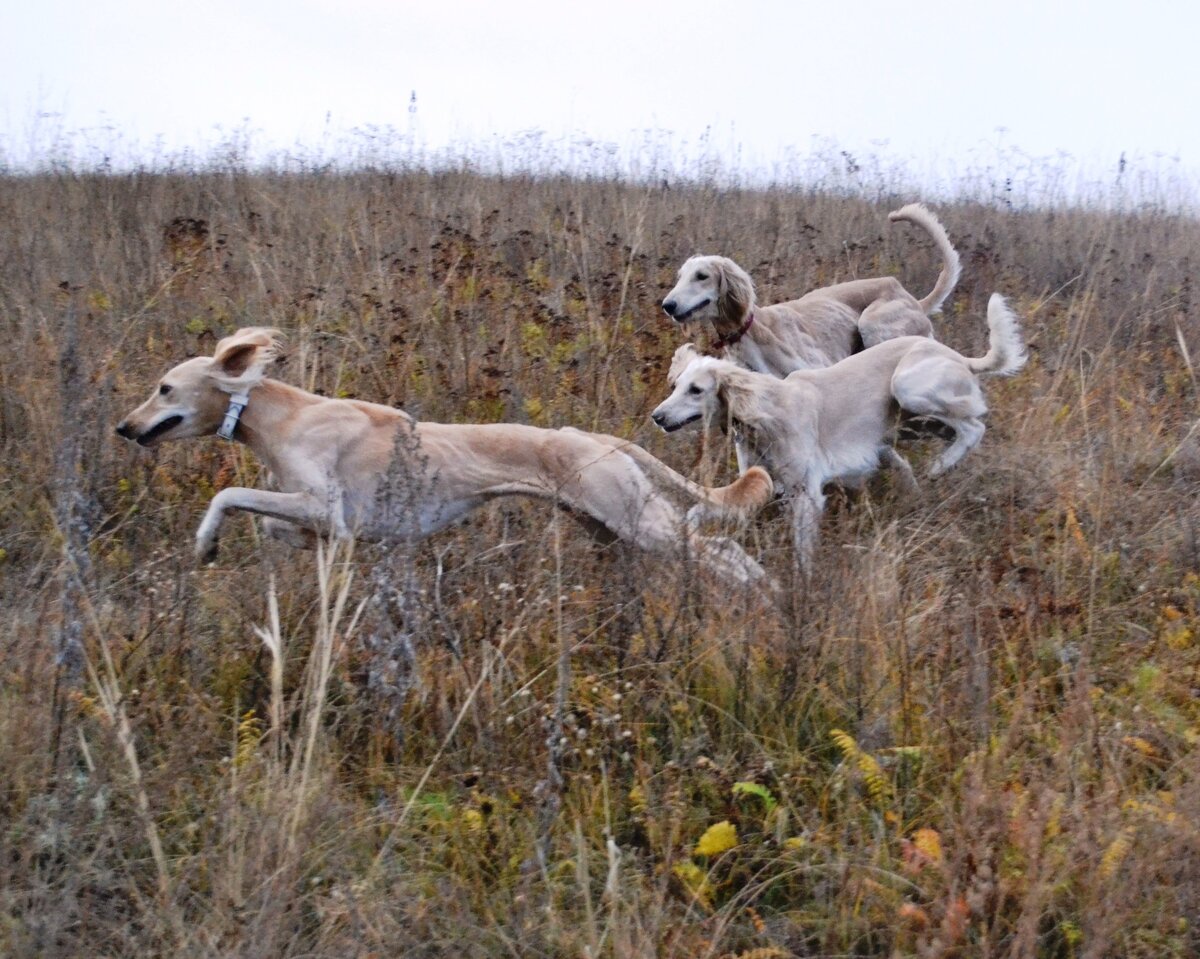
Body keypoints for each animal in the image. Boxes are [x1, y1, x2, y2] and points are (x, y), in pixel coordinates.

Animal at [114, 328, 777, 585]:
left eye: (165, 389)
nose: (124, 427)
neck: (283, 416)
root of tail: (597, 437)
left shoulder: (325, 507)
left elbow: (227, 494)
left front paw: (205, 542)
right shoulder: (321, 524)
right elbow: (270, 525)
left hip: (638, 520)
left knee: (722, 549)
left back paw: (763, 598)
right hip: (608, 528)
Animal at [652, 296, 1027, 571]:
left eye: (697, 390)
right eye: (675, 386)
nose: (657, 416)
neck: (765, 413)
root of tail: (958, 356)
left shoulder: (805, 494)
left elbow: (803, 553)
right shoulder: (760, 484)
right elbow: (707, 507)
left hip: (908, 388)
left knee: (975, 425)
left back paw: (941, 465)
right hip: (911, 423)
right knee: (948, 435)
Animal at [662, 204, 960, 376]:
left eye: (702, 276)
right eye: (680, 277)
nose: (668, 305)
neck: (751, 334)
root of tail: (915, 301)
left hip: (875, 326)